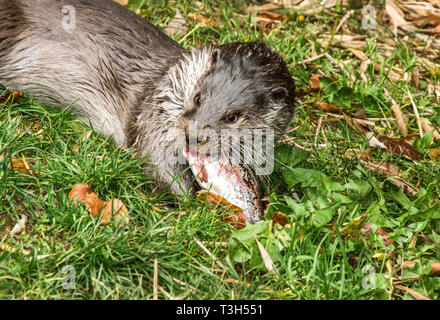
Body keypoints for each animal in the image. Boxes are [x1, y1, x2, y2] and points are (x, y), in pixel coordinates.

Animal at [0, 0, 296, 198]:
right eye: (198, 98)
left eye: (232, 117)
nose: (192, 134)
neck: (170, 84)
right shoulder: (155, 118)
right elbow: (158, 164)